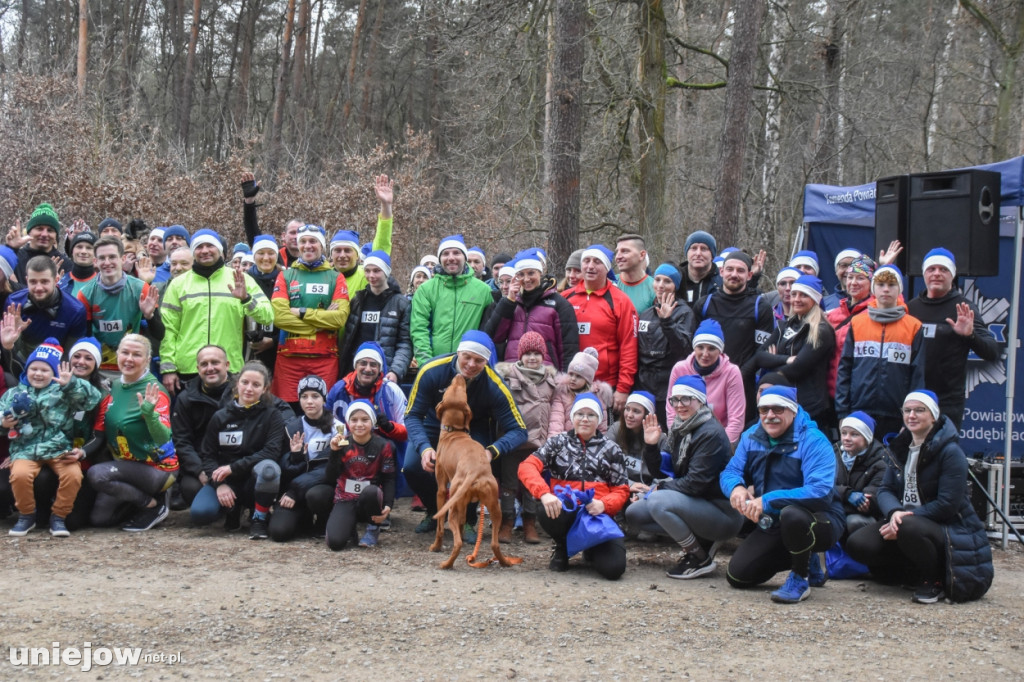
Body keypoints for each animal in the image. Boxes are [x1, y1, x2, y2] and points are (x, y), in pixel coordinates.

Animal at [428, 374, 520, 565]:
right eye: (459, 390)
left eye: (448, 389)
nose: (459, 376)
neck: (454, 432)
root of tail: (474, 471)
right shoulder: (463, 505)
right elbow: (462, 525)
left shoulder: (441, 490)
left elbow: (439, 527)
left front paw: (436, 546)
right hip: (494, 509)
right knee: (494, 544)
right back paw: (504, 562)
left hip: (451, 508)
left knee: (457, 543)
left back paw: (446, 565)